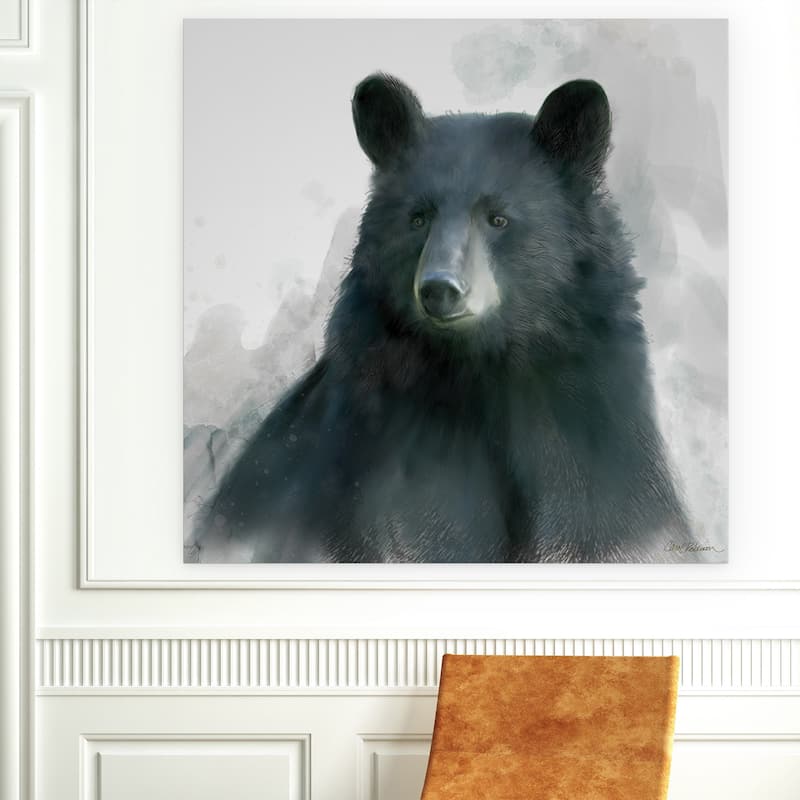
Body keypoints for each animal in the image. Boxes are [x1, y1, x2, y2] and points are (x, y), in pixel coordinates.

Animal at [195, 73, 690, 563]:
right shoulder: (388, 451)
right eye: (418, 218)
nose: (440, 289)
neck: (484, 370)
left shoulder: (591, 431)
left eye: (498, 218)